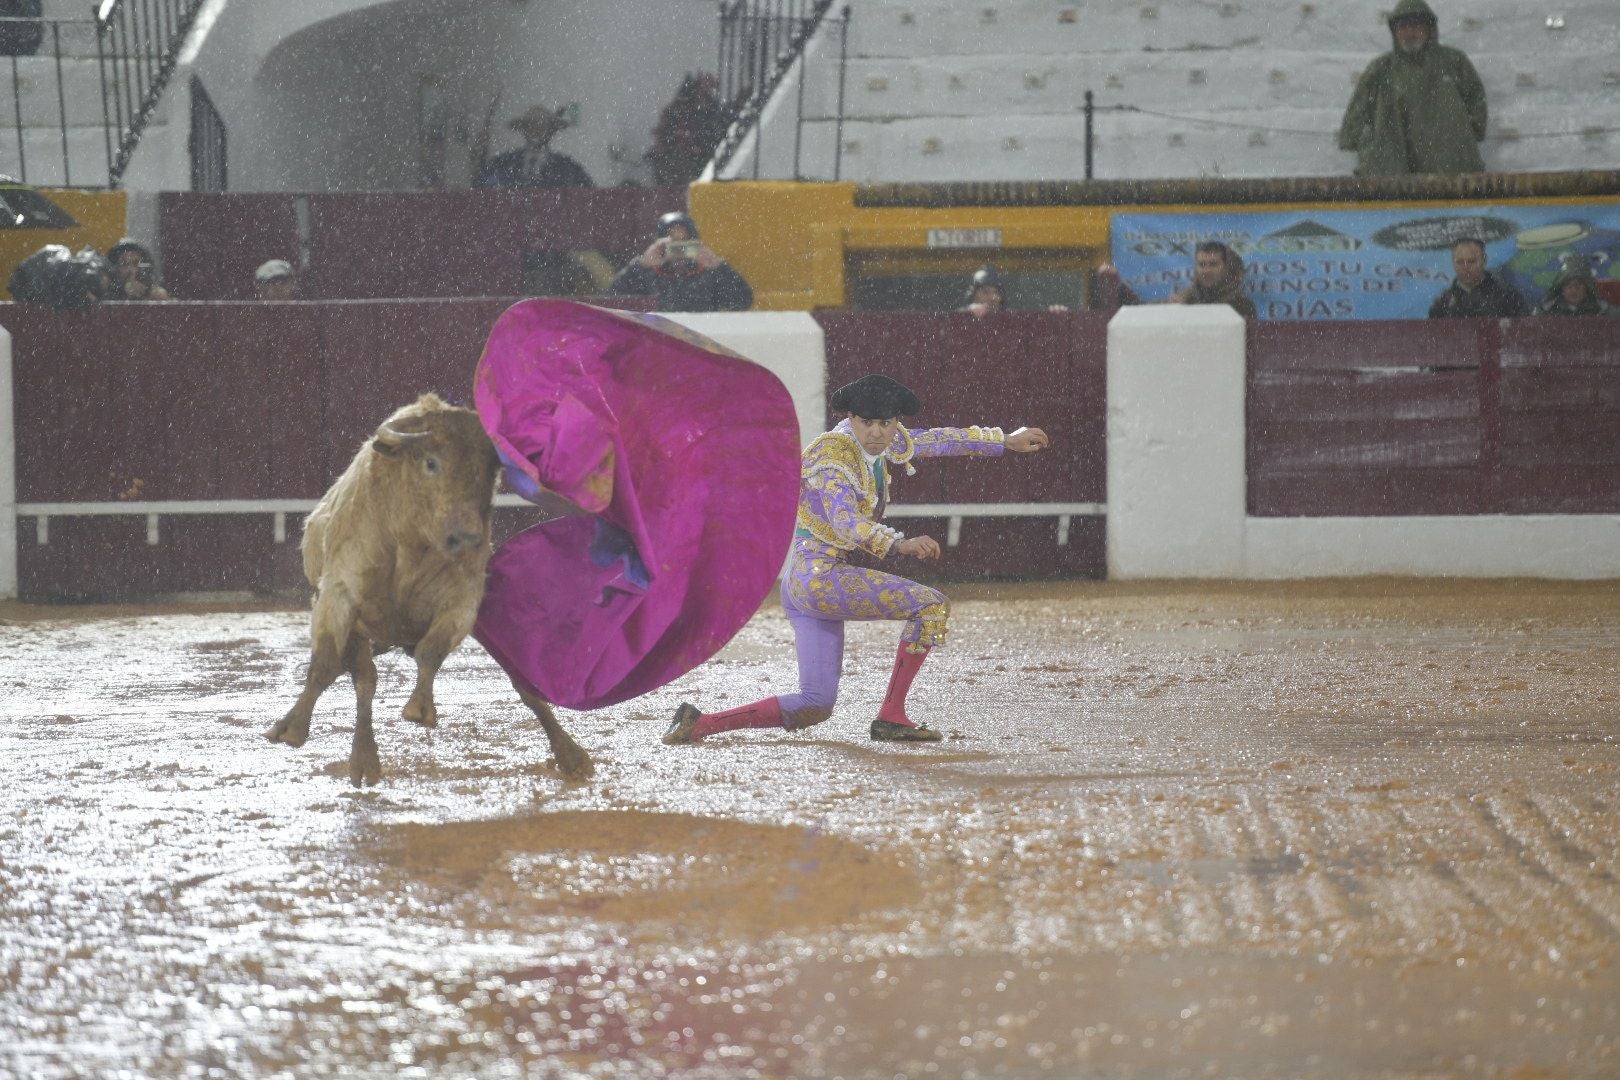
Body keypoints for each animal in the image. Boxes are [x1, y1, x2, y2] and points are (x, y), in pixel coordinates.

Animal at [265, 395, 596, 786]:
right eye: (431, 462)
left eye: (491, 472)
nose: (467, 539)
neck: (411, 543)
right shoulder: (338, 594)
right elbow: (326, 665)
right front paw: (292, 729)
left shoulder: (464, 600)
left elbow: (431, 650)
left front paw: (419, 708)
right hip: (356, 628)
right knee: (365, 680)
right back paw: (363, 760)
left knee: (521, 683)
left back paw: (571, 756)